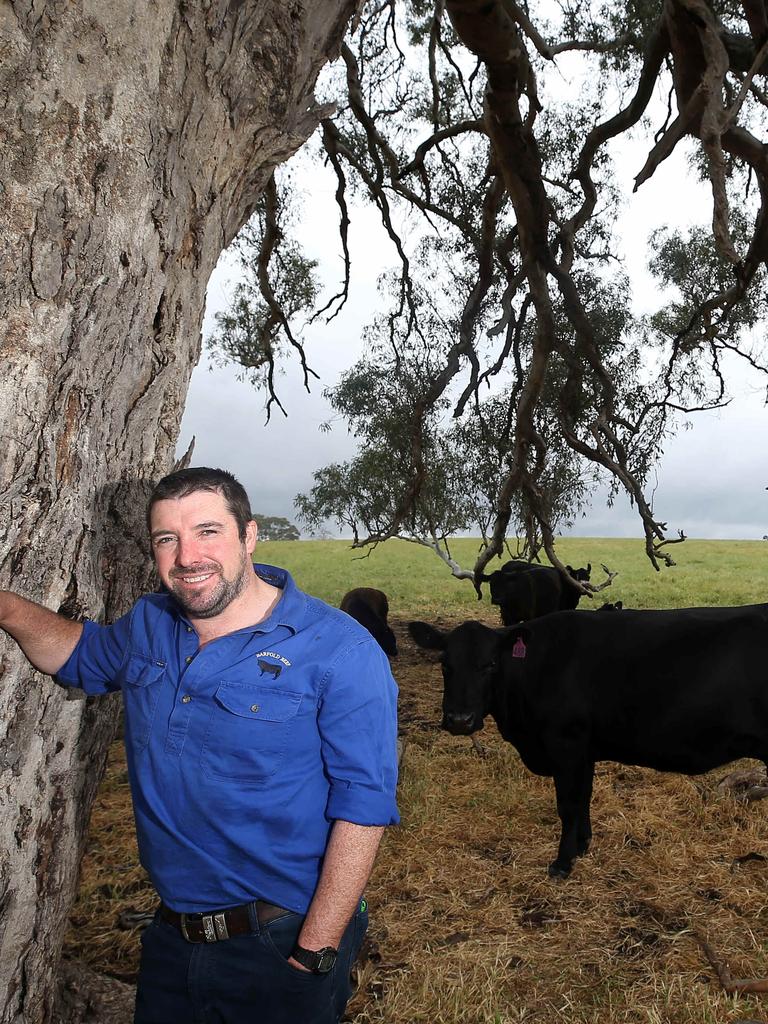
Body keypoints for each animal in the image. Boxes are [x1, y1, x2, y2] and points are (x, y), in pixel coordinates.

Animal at [409, 606, 768, 880]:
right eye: (444, 664)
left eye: (491, 664)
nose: (459, 720)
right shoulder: (584, 751)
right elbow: (584, 798)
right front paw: (582, 845)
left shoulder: (566, 744)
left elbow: (567, 804)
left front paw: (562, 863)